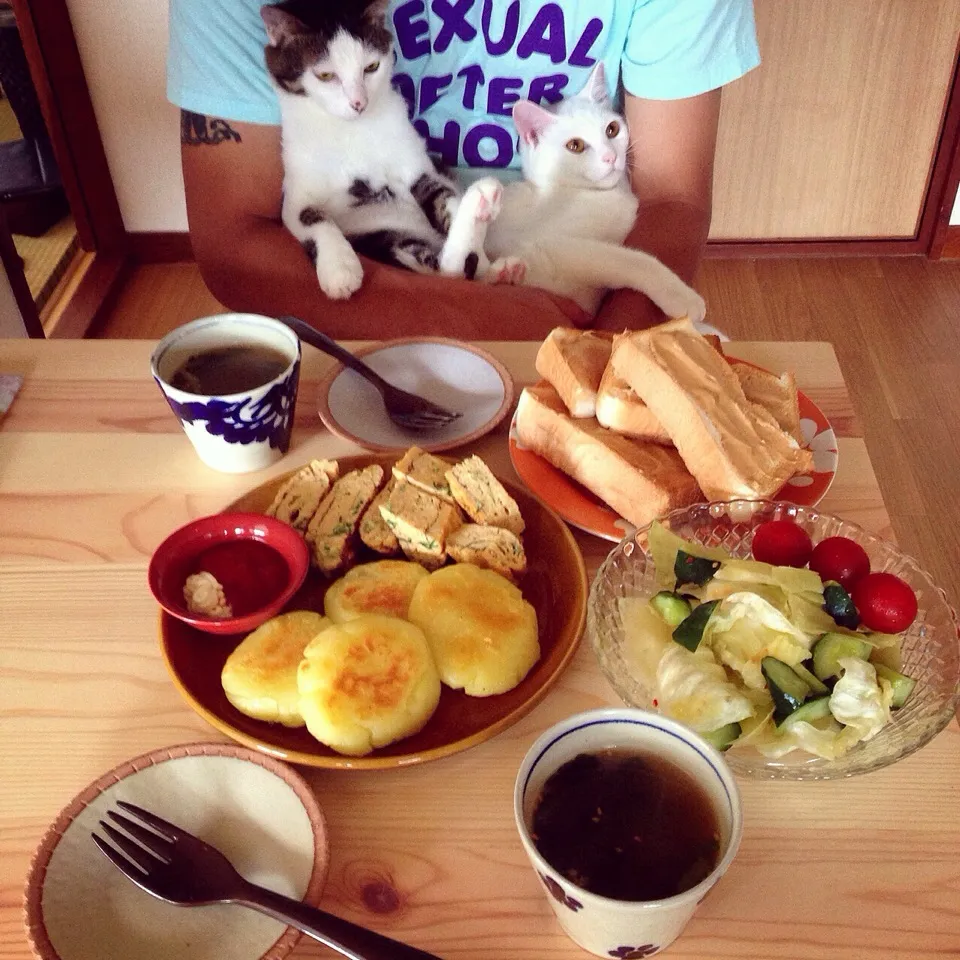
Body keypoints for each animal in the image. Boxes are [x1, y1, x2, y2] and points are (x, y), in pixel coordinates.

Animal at [262, 0, 502, 300]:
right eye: (325, 75)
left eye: (371, 67)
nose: (359, 103)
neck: (351, 129)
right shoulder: (296, 191)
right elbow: (312, 218)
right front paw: (340, 269)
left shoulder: (414, 162)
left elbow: (440, 195)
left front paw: (480, 257)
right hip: (384, 237)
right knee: (443, 267)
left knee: (451, 267)